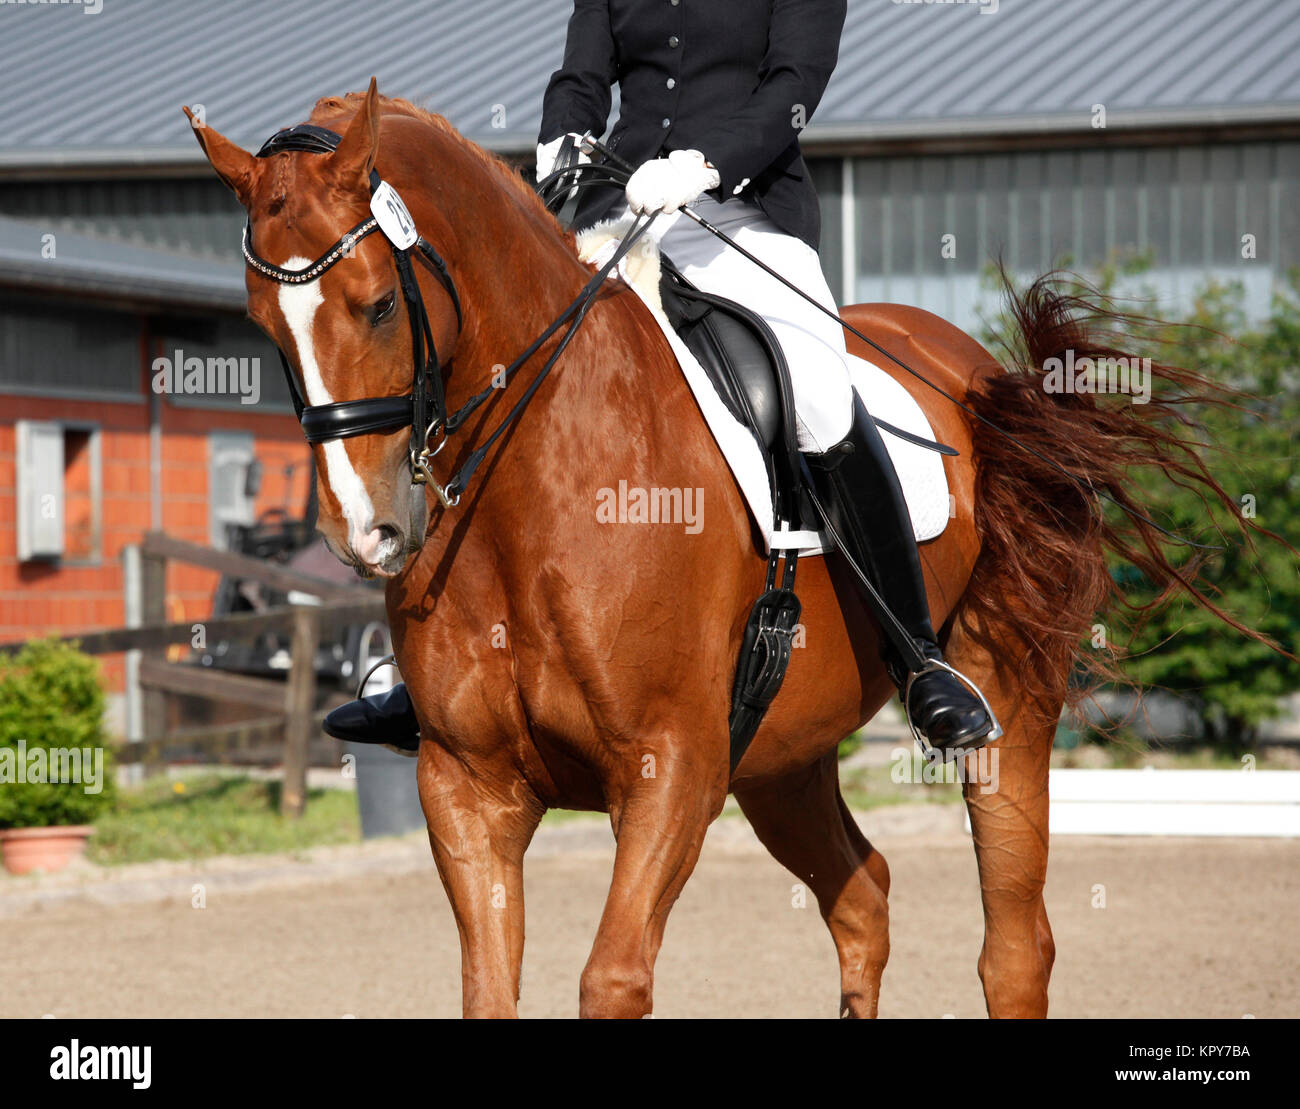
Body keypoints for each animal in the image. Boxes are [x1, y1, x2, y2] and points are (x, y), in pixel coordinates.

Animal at [188, 82, 1263, 1019]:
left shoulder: (670, 770)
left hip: (1006, 701)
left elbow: (612, 981)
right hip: (783, 757)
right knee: (863, 898)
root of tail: (976, 371)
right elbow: (489, 988)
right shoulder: (465, 784)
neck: (532, 492)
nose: (366, 531)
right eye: (259, 323)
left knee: (1014, 946)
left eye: (377, 303)